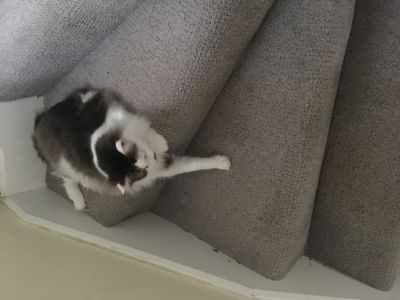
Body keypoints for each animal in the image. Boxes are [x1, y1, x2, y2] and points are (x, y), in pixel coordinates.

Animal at [34, 86, 231, 211]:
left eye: (145, 157)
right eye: (143, 170)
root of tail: (40, 120)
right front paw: (224, 162)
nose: (154, 159)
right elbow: (189, 165)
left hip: (87, 98)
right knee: (68, 180)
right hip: (67, 165)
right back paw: (79, 203)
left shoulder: (118, 117)